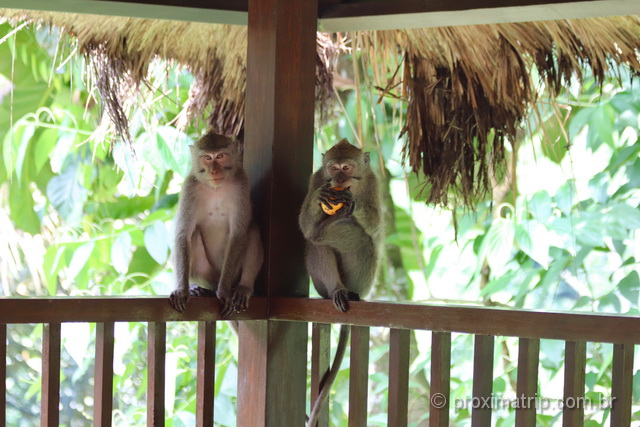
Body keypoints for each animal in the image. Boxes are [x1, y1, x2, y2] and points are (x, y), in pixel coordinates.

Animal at [170, 131, 262, 318]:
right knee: (193, 234)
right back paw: (195, 287)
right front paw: (182, 289)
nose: (213, 170)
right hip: (205, 273)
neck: (216, 188)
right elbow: (183, 233)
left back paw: (243, 287)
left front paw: (224, 291)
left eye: (220, 156)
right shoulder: (190, 188)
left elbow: (238, 234)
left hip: (233, 273)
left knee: (253, 229)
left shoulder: (241, 184)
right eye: (207, 157)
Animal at [298, 139, 382, 426]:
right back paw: (337, 291)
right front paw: (320, 200)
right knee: (315, 241)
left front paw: (352, 203)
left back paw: (352, 293)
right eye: (333, 169)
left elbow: (374, 226)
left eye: (347, 168)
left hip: (364, 281)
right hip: (321, 285)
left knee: (362, 240)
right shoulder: (316, 179)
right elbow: (306, 227)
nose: (339, 179)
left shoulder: (372, 182)